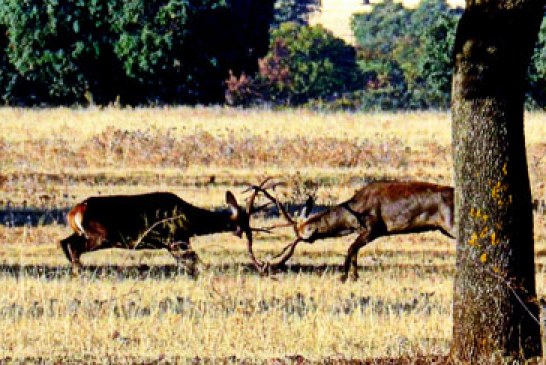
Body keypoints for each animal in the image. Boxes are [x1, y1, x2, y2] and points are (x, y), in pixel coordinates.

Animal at [60, 178, 270, 274]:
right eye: (243, 222)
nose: (246, 233)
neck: (191, 220)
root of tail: (74, 212)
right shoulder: (176, 239)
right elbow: (195, 260)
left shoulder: (174, 244)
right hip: (99, 236)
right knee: (73, 247)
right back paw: (79, 271)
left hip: (85, 234)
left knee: (64, 242)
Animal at [253, 181, 452, 280]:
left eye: (302, 237)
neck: (354, 212)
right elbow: (355, 250)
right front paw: (355, 276)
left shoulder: (374, 228)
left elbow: (350, 249)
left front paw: (343, 276)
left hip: (450, 225)